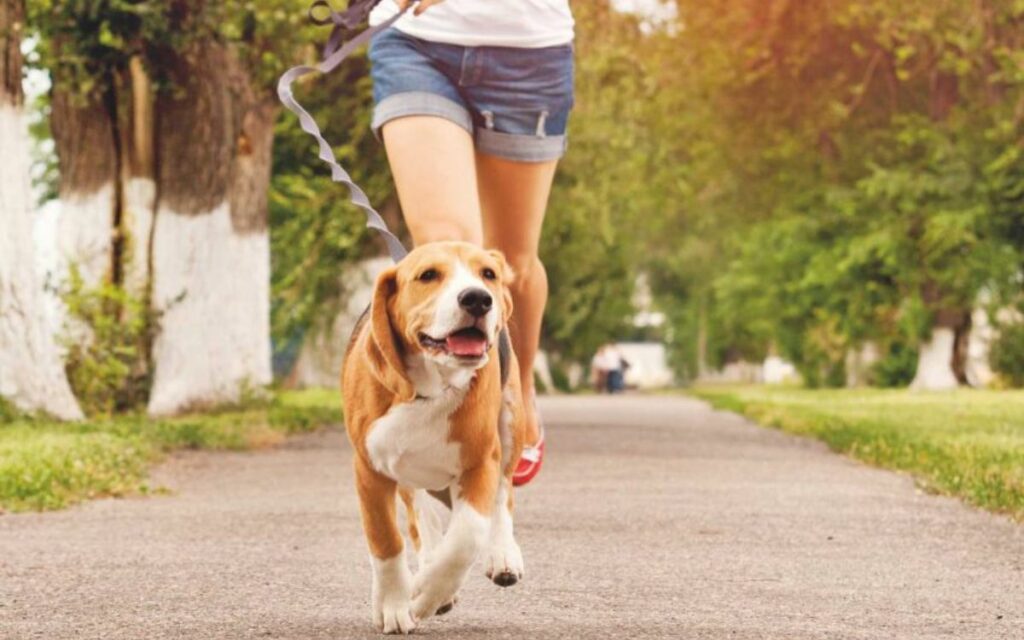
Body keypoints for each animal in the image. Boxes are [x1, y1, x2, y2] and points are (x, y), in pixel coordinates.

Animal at [344, 240, 528, 634]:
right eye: (428, 275)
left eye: (488, 274)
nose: (477, 299)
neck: (430, 388)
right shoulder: (369, 469)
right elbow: (386, 539)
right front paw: (395, 604)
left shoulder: (480, 462)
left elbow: (465, 537)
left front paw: (428, 595)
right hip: (406, 472)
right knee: (419, 516)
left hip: (510, 423)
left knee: (503, 494)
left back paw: (502, 555)